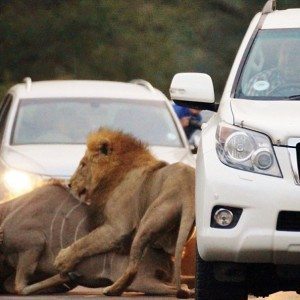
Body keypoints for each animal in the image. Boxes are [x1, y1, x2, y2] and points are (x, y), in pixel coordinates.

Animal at [54, 129, 196, 298]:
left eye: (83, 165)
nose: (69, 184)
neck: (113, 174)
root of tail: (189, 192)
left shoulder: (117, 228)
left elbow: (85, 242)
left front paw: (62, 260)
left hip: (148, 221)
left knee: (133, 268)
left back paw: (112, 289)